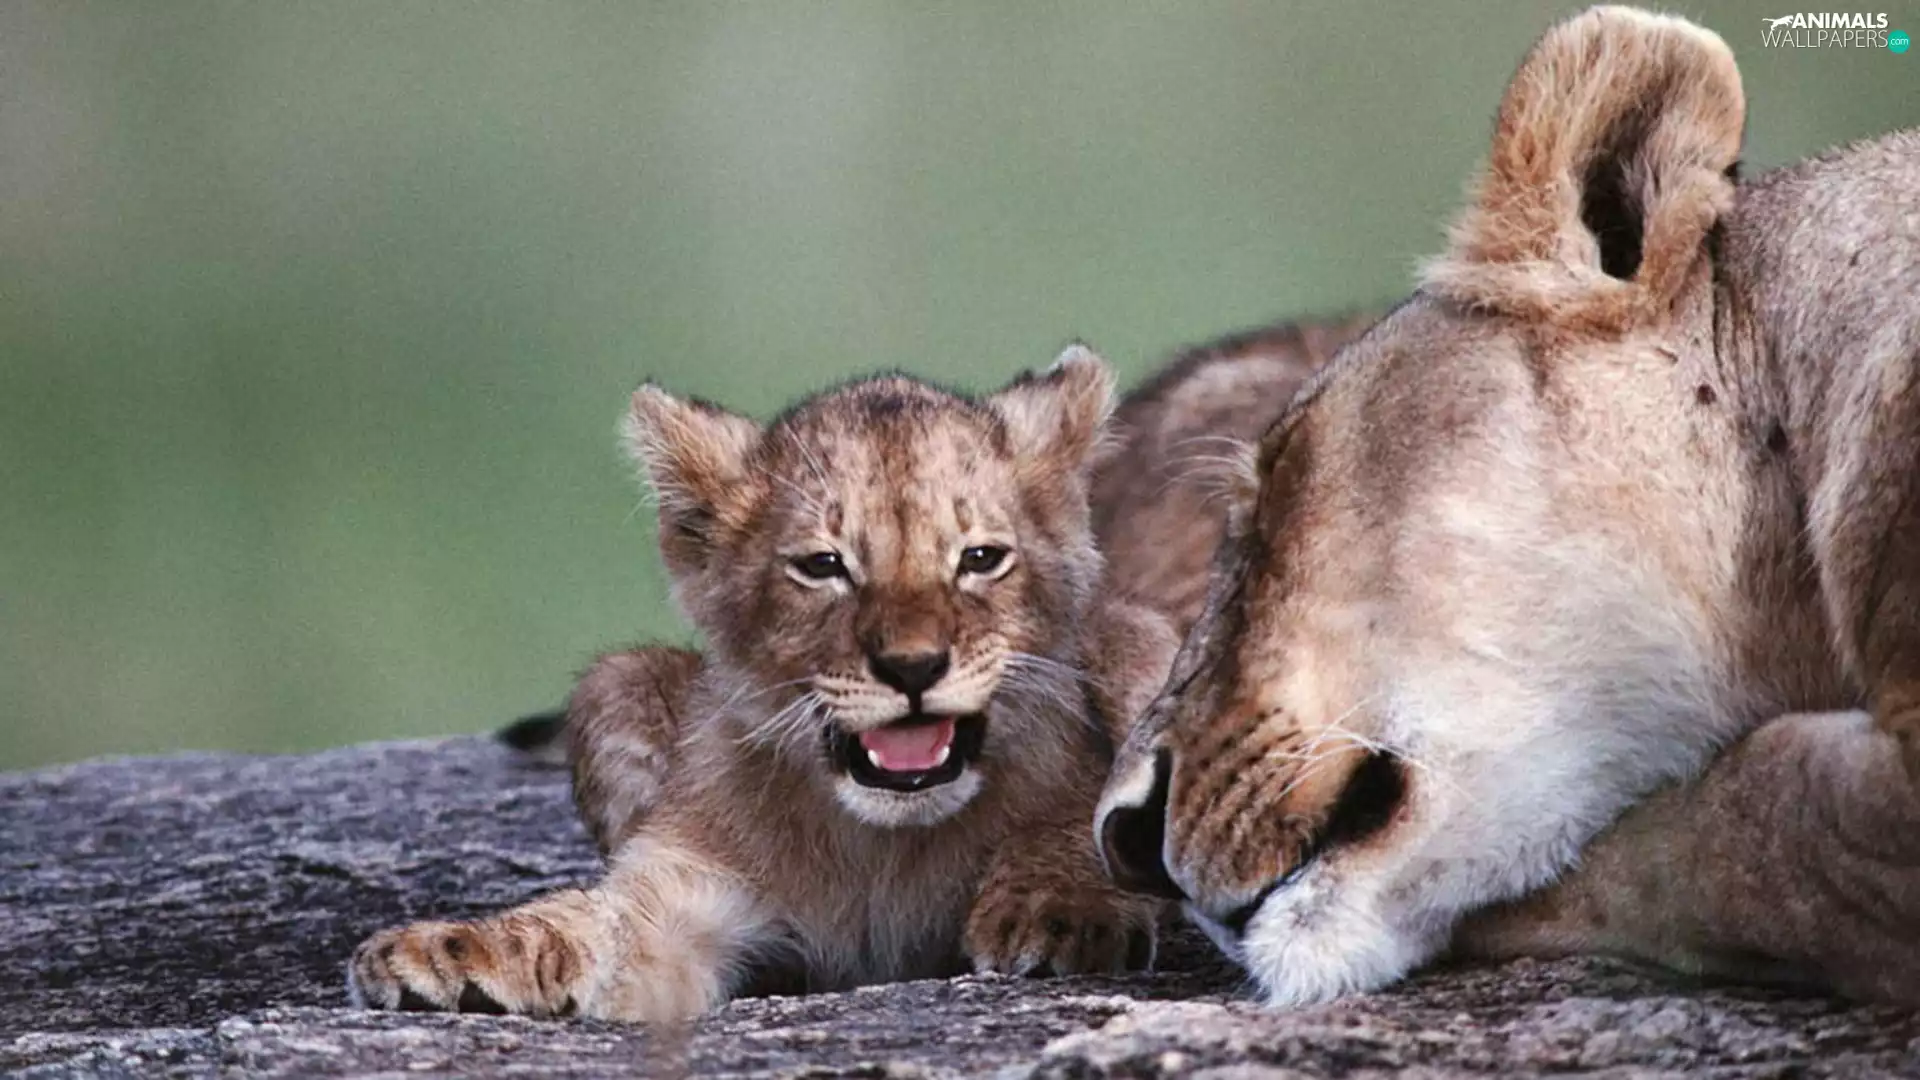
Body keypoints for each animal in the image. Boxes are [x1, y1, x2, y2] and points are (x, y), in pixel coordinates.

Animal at [346, 349, 1172, 1022]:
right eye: (823, 566)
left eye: (980, 558)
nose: (912, 668)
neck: (884, 844)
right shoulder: (681, 895)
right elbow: (584, 926)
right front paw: (448, 953)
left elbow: (1075, 825)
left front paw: (1060, 910)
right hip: (616, 680)